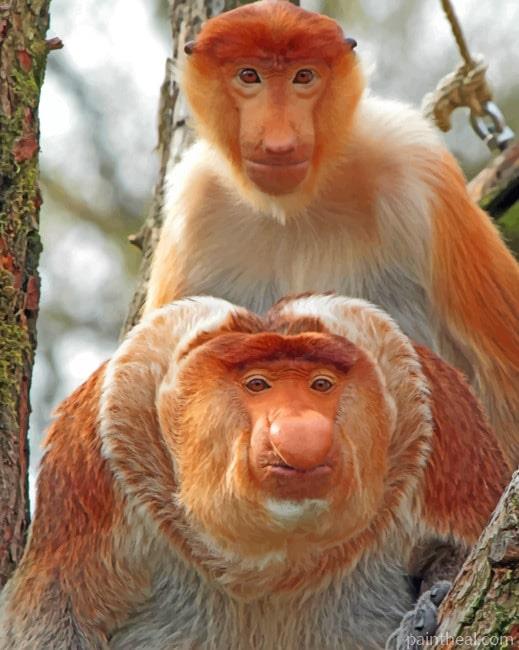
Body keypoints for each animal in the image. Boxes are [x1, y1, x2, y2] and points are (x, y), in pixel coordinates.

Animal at [0, 294, 511, 649]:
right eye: (258, 384)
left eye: (321, 384)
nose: (297, 428)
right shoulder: (99, 437)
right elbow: (55, 607)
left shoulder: (434, 408)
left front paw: (424, 611)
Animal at [143, 0, 519, 465]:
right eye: (249, 75)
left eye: (304, 76)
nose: (279, 140)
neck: (297, 207)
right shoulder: (194, 203)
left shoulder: (416, 164)